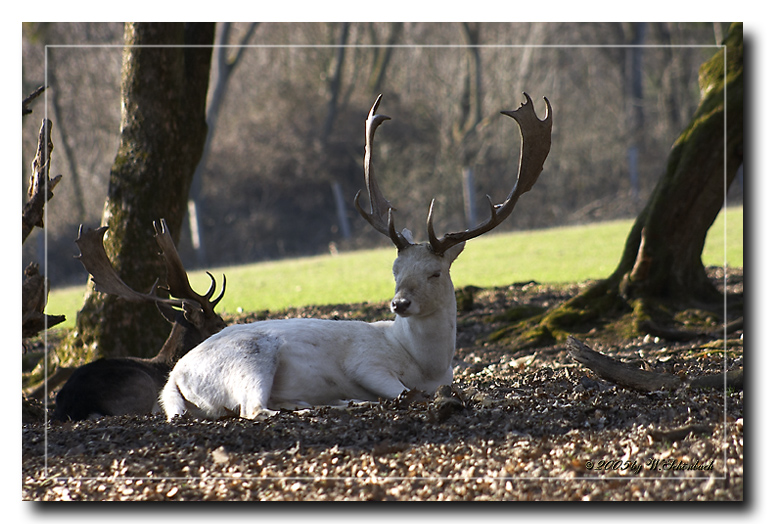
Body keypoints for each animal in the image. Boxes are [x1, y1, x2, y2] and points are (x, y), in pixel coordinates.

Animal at [160, 94, 552, 422]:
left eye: (435, 273)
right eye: (395, 270)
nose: (399, 303)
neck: (424, 362)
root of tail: (174, 378)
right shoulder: (366, 362)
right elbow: (404, 391)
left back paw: (332, 402)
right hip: (251, 357)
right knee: (251, 409)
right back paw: (326, 406)